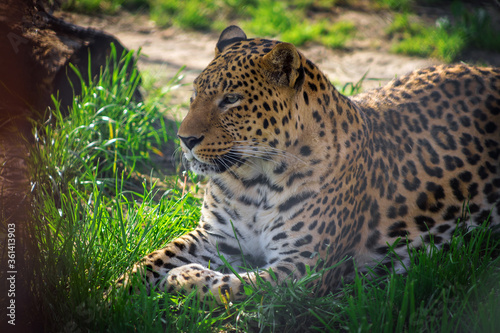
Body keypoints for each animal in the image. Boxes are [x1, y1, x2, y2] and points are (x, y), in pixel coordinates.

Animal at [115, 25, 500, 300]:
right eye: (195, 94)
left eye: (231, 99)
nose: (185, 139)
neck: (254, 179)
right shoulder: (217, 236)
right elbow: (154, 258)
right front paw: (113, 293)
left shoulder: (303, 266)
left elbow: (233, 286)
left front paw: (182, 277)